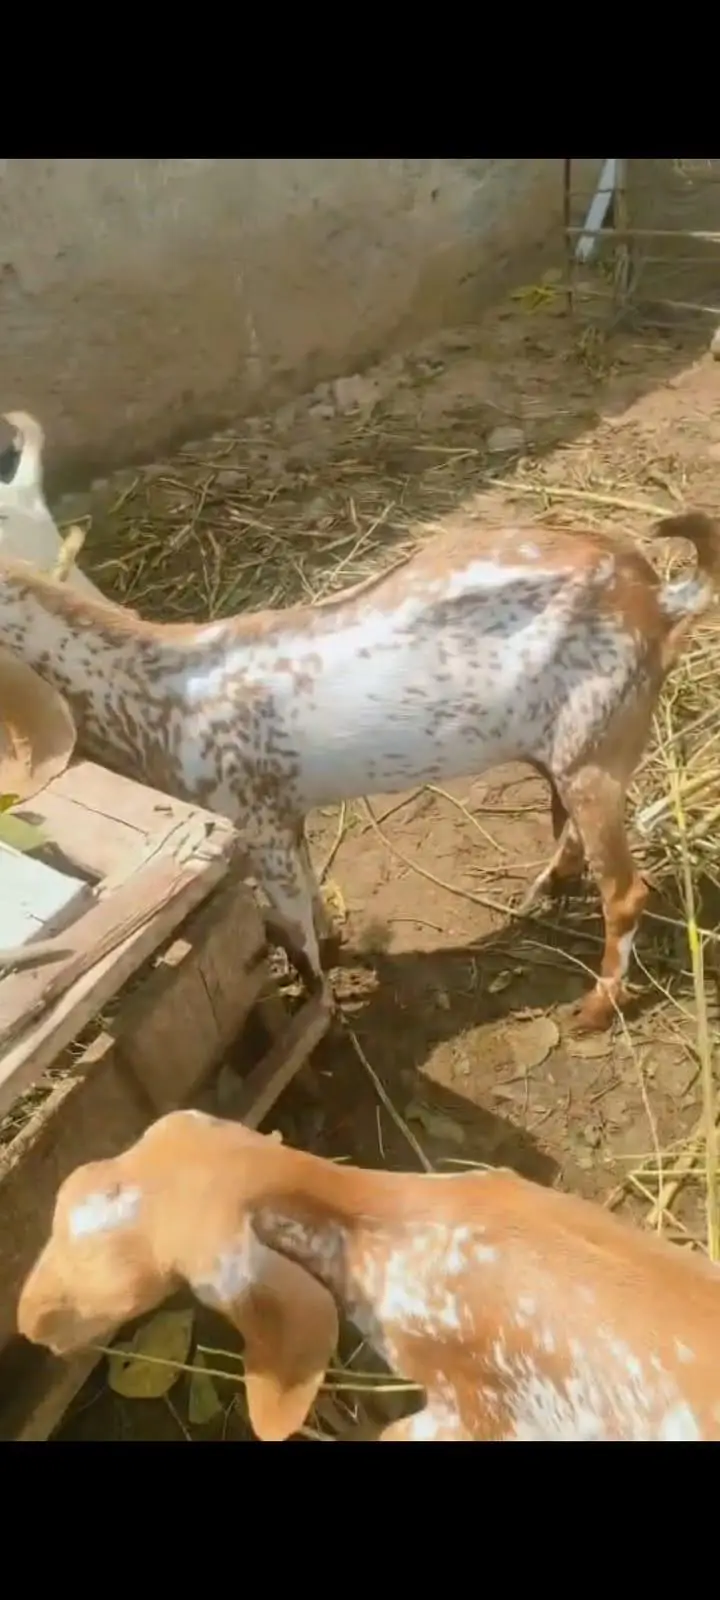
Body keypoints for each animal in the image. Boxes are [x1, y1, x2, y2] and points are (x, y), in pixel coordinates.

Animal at [0, 507, 717, 1029]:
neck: (150, 695)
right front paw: (334, 946)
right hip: (567, 748)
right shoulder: (283, 817)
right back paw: (546, 890)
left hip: (598, 749)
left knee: (625, 892)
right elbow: (312, 906)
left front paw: (318, 1006)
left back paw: (595, 1010)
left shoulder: (255, 823)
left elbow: (297, 931)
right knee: (566, 825)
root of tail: (661, 596)